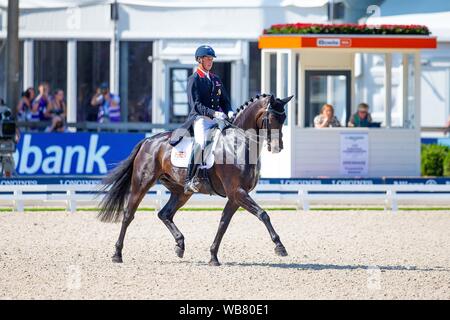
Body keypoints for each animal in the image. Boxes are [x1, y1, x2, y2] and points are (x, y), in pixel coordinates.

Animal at [98, 92, 294, 264]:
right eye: (271, 118)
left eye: (284, 119)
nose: (278, 147)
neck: (237, 145)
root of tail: (148, 141)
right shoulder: (237, 192)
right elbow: (263, 214)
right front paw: (280, 247)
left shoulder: (235, 196)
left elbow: (223, 223)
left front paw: (213, 256)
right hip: (142, 183)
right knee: (128, 215)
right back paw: (117, 254)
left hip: (181, 191)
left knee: (164, 213)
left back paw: (180, 245)